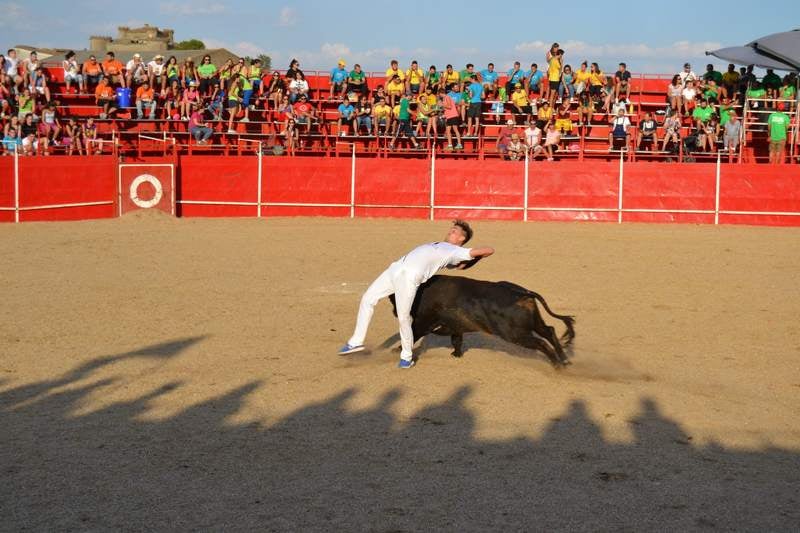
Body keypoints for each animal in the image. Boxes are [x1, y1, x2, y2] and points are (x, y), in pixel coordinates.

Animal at [390, 274, 572, 366]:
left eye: (394, 299)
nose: (395, 312)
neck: (421, 292)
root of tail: (523, 293)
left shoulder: (423, 323)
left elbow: (412, 335)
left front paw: (397, 350)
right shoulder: (456, 326)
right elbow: (457, 340)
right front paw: (456, 355)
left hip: (514, 334)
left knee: (541, 342)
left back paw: (557, 365)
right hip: (533, 324)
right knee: (549, 331)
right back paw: (564, 360)